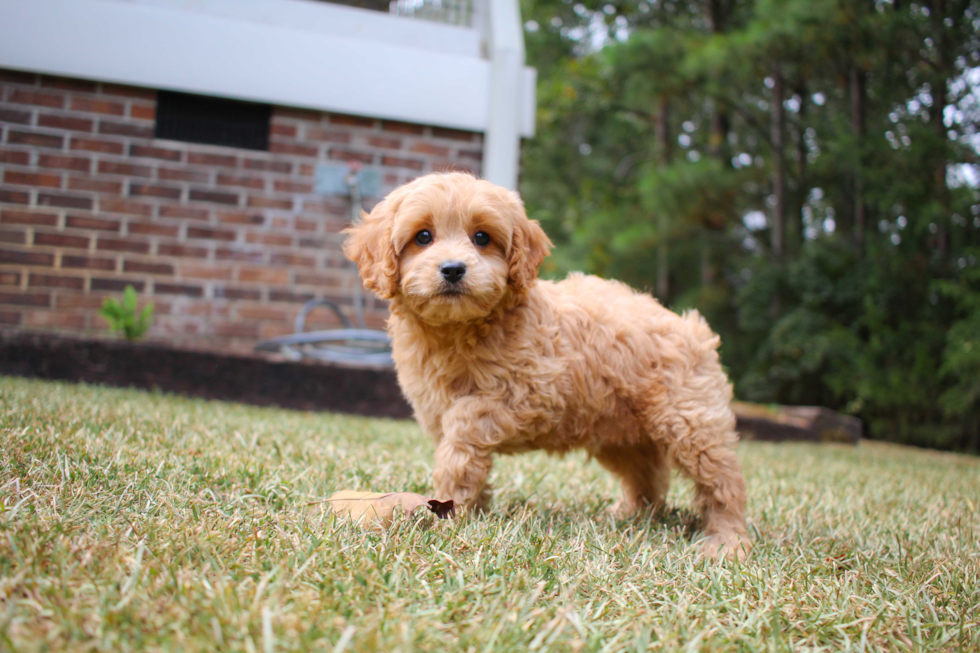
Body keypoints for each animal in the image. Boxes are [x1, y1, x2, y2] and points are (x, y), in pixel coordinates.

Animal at [344, 171, 752, 556]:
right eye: (423, 236)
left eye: (482, 238)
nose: (453, 269)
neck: (459, 329)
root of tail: (692, 326)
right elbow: (461, 452)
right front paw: (467, 506)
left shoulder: (534, 391)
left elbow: (464, 425)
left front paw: (451, 503)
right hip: (621, 433)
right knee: (648, 475)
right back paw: (632, 515)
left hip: (690, 421)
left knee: (723, 482)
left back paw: (727, 541)